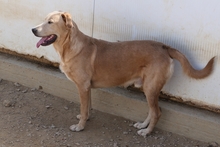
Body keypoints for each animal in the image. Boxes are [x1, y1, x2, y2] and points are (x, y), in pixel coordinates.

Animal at [32, 10, 215, 137]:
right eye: (43, 19)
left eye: (50, 22)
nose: (33, 29)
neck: (69, 46)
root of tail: (165, 47)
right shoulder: (87, 88)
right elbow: (88, 107)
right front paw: (86, 118)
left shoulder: (82, 87)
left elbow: (84, 108)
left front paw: (80, 126)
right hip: (149, 88)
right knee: (152, 110)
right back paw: (143, 125)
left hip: (150, 87)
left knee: (157, 112)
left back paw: (147, 132)